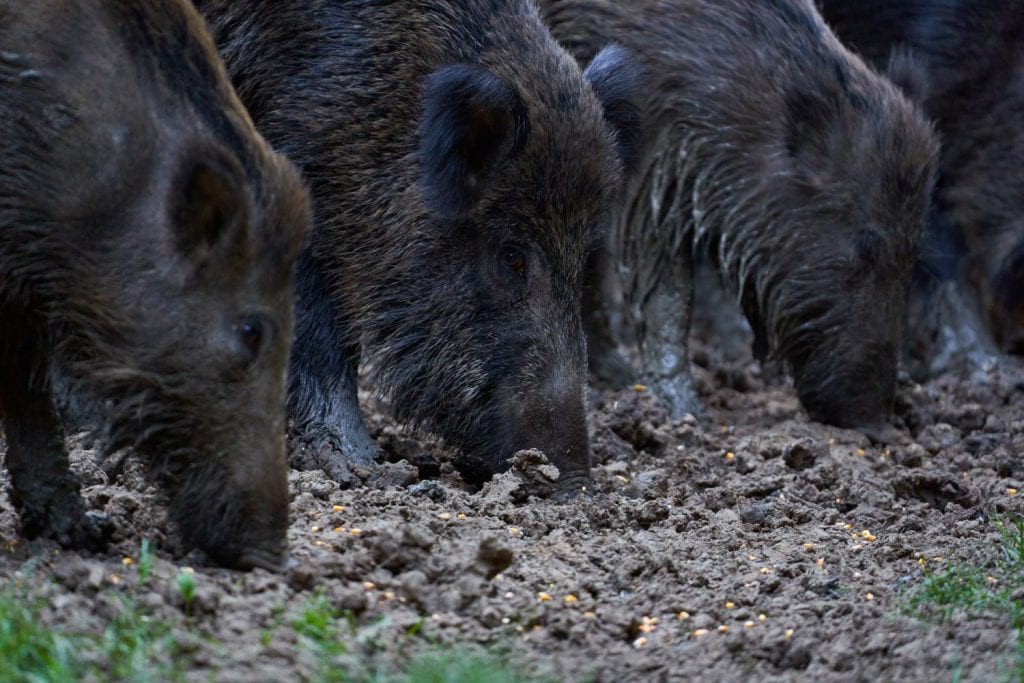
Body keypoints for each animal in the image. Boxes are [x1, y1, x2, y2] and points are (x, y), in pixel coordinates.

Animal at [540, 0, 939, 439]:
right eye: (867, 247)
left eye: (914, 250)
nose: (879, 425)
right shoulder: (653, 171)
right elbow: (668, 293)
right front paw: (684, 415)